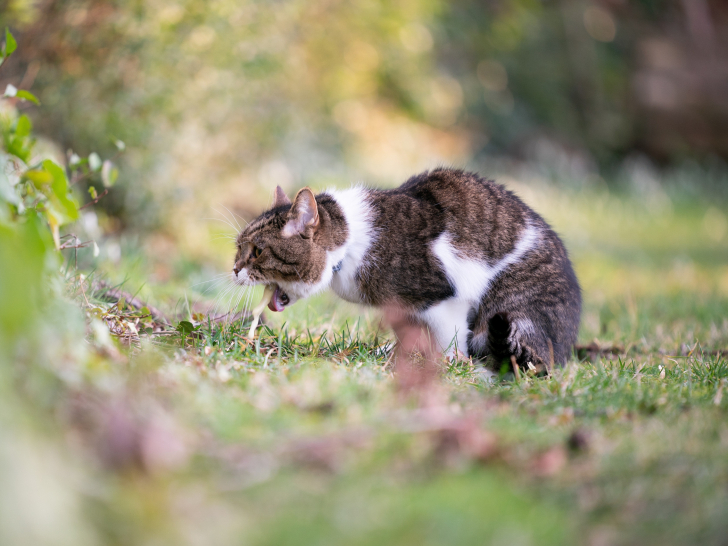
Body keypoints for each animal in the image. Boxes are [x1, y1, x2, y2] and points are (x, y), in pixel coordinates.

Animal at [230, 167, 584, 366]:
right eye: (238, 249)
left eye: (257, 251)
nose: (234, 269)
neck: (351, 242)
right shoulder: (404, 309)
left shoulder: (444, 300)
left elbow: (449, 340)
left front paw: (446, 365)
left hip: (511, 309)